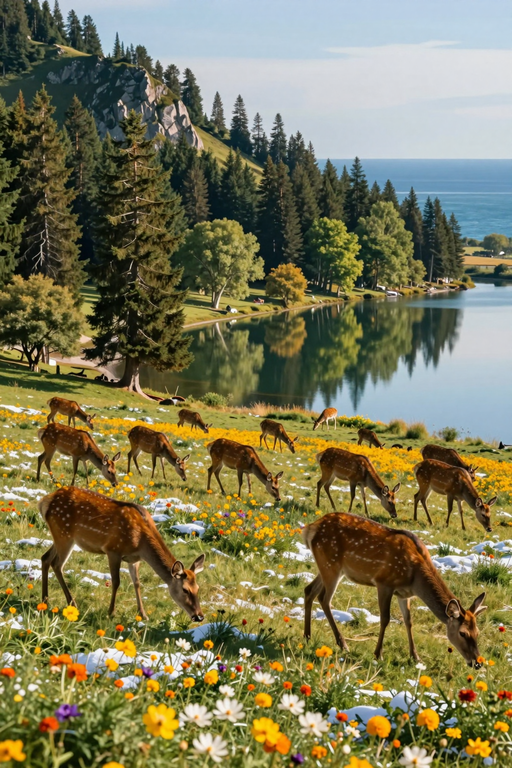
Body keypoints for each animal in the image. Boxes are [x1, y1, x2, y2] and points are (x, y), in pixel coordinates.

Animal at [39, 487, 205, 622]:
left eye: (198, 588)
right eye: (185, 590)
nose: (199, 616)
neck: (141, 544)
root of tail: (45, 501)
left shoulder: (134, 559)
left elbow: (137, 583)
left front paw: (143, 614)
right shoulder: (113, 549)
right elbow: (116, 581)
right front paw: (111, 612)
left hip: (62, 536)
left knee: (45, 558)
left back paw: (45, 600)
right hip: (64, 534)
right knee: (57, 564)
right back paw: (71, 602)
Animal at [302, 511, 487, 667]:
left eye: (478, 632)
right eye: (463, 633)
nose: (477, 663)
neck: (415, 578)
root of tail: (311, 527)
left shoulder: (404, 594)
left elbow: (408, 621)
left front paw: (415, 656)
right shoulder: (384, 582)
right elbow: (385, 619)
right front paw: (378, 654)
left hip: (329, 567)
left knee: (309, 590)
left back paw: (307, 636)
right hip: (331, 563)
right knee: (324, 598)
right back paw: (343, 644)